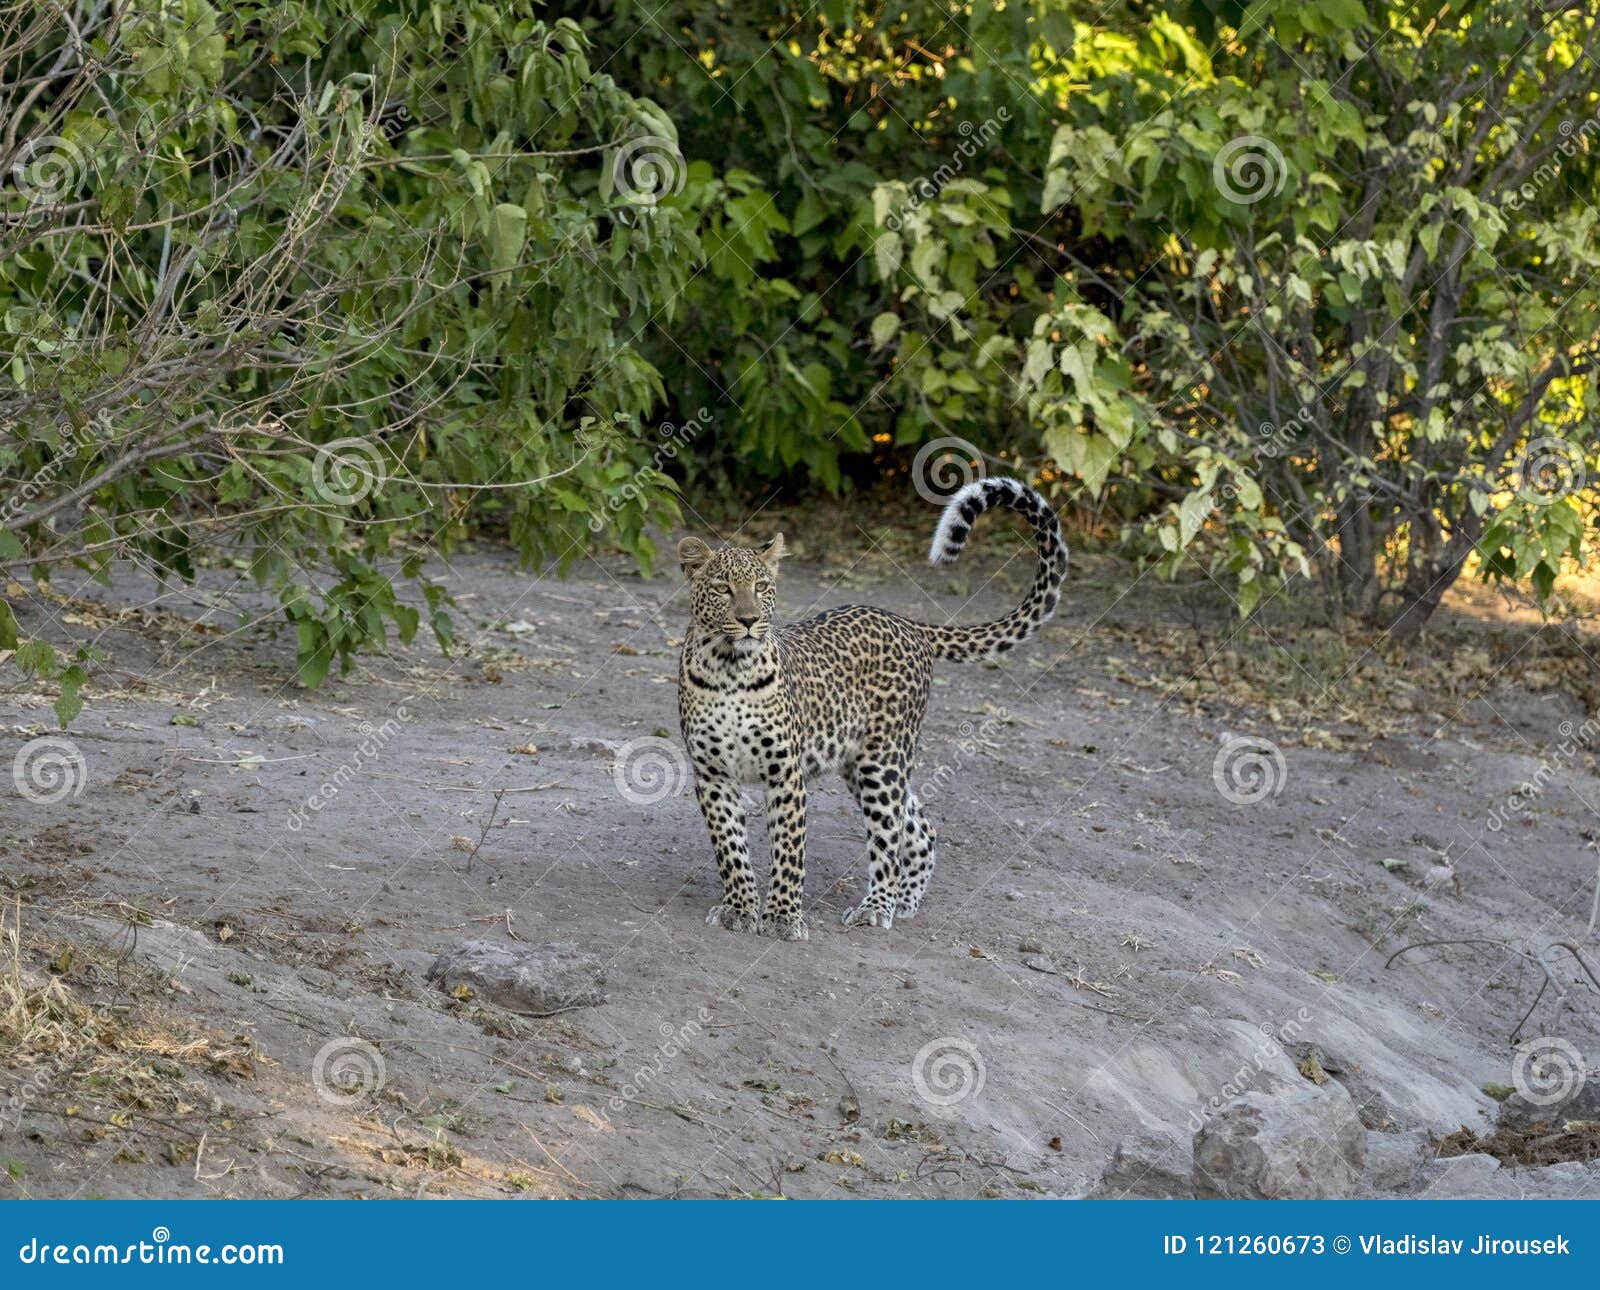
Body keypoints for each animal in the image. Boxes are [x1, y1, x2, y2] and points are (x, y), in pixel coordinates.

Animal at [672, 480, 1062, 947]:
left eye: (762, 587)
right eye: (723, 589)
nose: (749, 620)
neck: (729, 666)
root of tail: (907, 623)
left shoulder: (785, 774)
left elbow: (789, 851)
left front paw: (783, 916)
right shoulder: (713, 773)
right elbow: (729, 848)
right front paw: (739, 908)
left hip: (883, 761)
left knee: (889, 836)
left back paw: (878, 906)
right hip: (858, 765)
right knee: (919, 829)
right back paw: (905, 901)